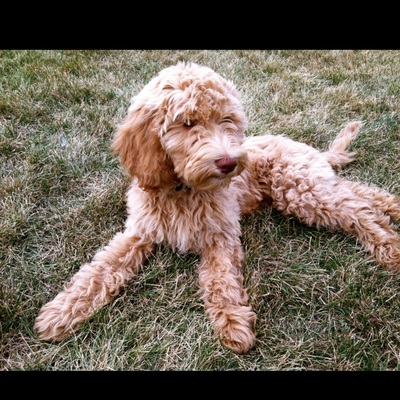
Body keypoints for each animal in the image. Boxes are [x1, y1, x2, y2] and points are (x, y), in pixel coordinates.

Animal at [34, 62, 400, 354]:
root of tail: (308, 149)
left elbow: (221, 281)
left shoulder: (220, 235)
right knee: (359, 192)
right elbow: (98, 271)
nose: (229, 163)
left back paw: (389, 246)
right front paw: (61, 312)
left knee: (357, 209)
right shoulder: (138, 232)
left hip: (301, 191)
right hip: (308, 186)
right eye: (187, 123)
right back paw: (393, 209)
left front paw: (233, 325)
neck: (183, 190)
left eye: (226, 119)